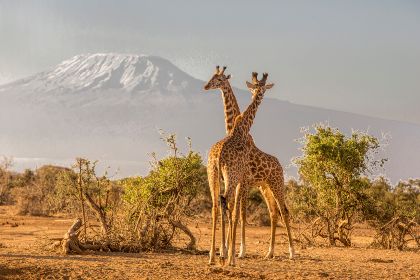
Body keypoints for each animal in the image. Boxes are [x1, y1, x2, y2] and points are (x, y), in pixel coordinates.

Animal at [203, 65, 278, 260]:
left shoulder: (242, 181)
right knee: (224, 203)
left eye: (219, 79)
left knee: (217, 205)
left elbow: (239, 212)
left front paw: (235, 249)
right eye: (213, 77)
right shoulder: (241, 180)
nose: (206, 86)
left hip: (217, 177)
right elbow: (238, 212)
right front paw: (232, 250)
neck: (239, 127)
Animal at [218, 71, 294, 264]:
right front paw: (232, 251)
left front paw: (237, 251)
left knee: (283, 211)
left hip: (276, 184)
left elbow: (240, 214)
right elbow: (238, 212)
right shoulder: (241, 182)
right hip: (265, 187)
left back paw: (291, 252)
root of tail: (280, 165)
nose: (257, 95)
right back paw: (270, 253)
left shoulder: (243, 182)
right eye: (253, 89)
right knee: (274, 213)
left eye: (262, 88)